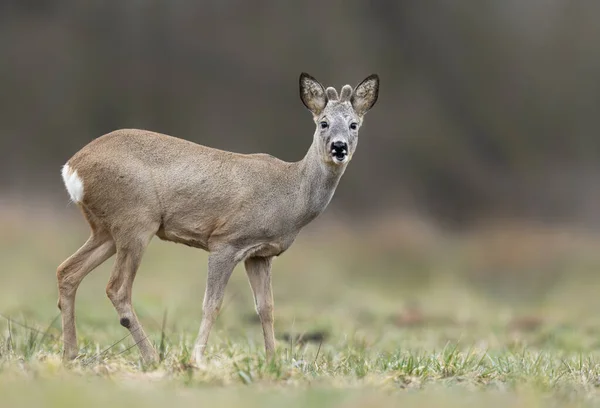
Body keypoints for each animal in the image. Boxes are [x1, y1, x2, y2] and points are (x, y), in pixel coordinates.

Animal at [55, 71, 376, 364]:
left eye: (353, 124)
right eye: (323, 123)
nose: (339, 147)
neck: (290, 194)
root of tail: (72, 167)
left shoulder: (260, 254)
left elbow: (267, 308)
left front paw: (272, 361)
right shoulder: (227, 241)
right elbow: (212, 304)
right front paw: (197, 358)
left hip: (106, 229)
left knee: (67, 271)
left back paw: (71, 354)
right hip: (136, 220)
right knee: (117, 288)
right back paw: (152, 356)